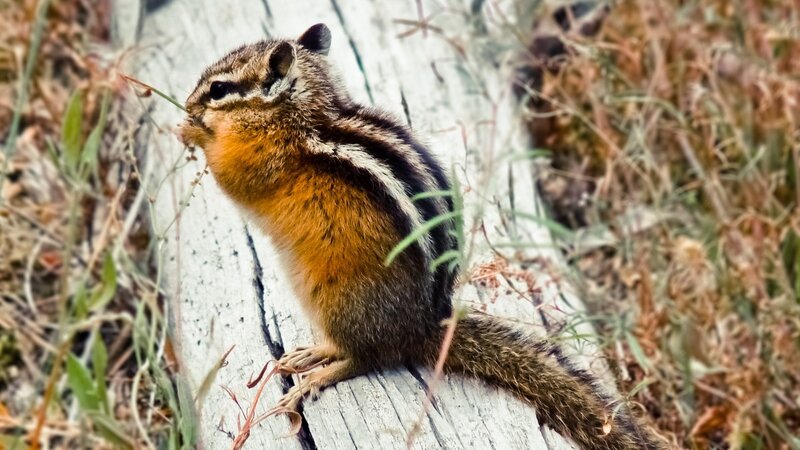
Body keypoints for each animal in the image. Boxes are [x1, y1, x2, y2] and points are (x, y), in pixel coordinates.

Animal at [178, 23, 665, 450]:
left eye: (218, 89)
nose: (186, 102)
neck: (305, 110)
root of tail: (424, 328)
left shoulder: (263, 158)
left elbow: (232, 175)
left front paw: (195, 130)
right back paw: (310, 354)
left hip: (337, 300)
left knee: (367, 357)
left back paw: (316, 375)